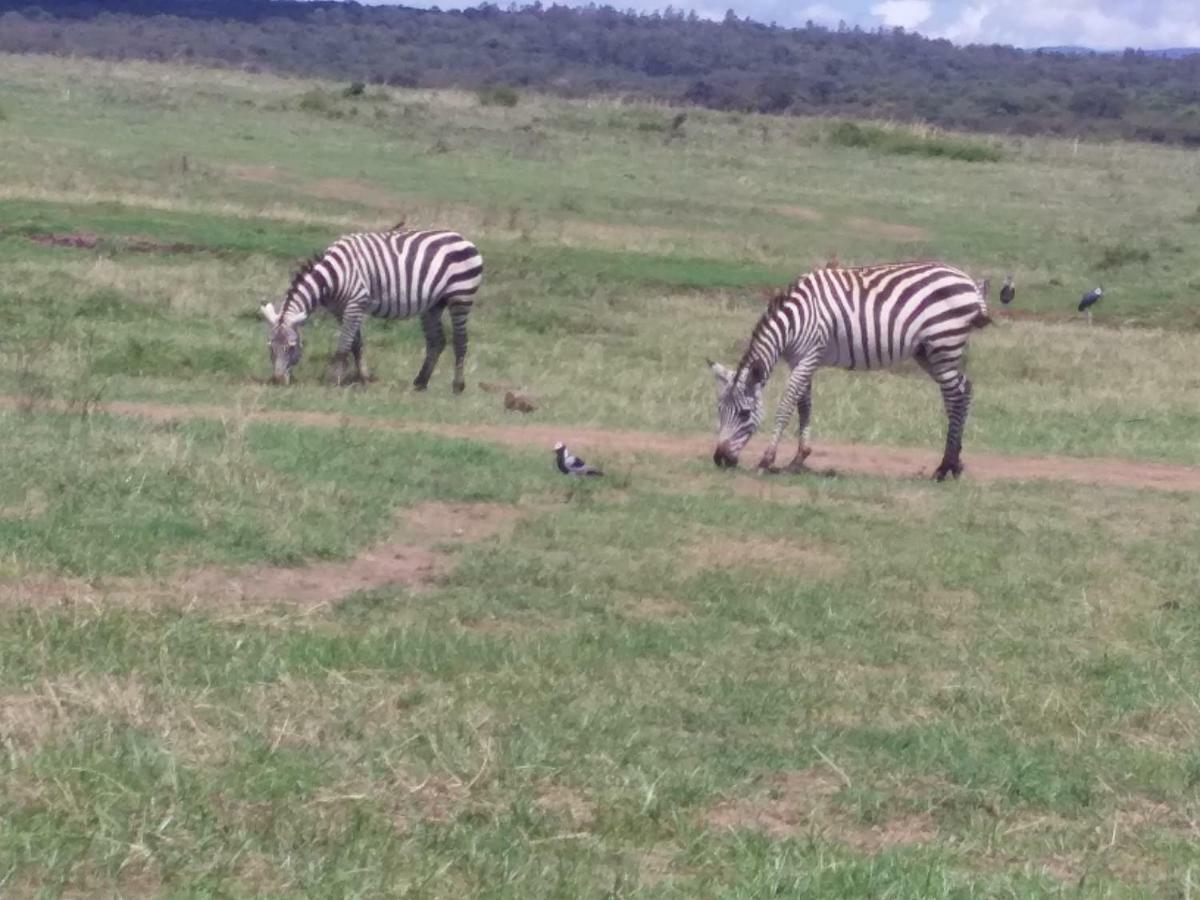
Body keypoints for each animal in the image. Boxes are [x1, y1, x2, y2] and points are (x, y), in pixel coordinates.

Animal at [261, 226, 482, 388]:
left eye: (292, 346)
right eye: (270, 347)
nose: (277, 381)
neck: (332, 277)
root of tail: (463, 238)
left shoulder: (355, 303)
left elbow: (344, 344)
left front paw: (334, 380)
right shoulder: (340, 309)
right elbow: (356, 344)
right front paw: (364, 377)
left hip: (461, 296)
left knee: (460, 340)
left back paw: (458, 386)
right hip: (434, 304)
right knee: (437, 341)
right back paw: (420, 382)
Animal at [710, 260, 993, 482]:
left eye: (745, 414)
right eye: (719, 411)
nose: (719, 460)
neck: (795, 319)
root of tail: (969, 281)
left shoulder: (809, 355)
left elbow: (786, 405)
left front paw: (767, 460)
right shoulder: (801, 360)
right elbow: (804, 406)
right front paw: (799, 458)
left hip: (944, 345)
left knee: (955, 397)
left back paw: (944, 468)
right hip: (929, 352)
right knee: (963, 390)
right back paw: (954, 465)